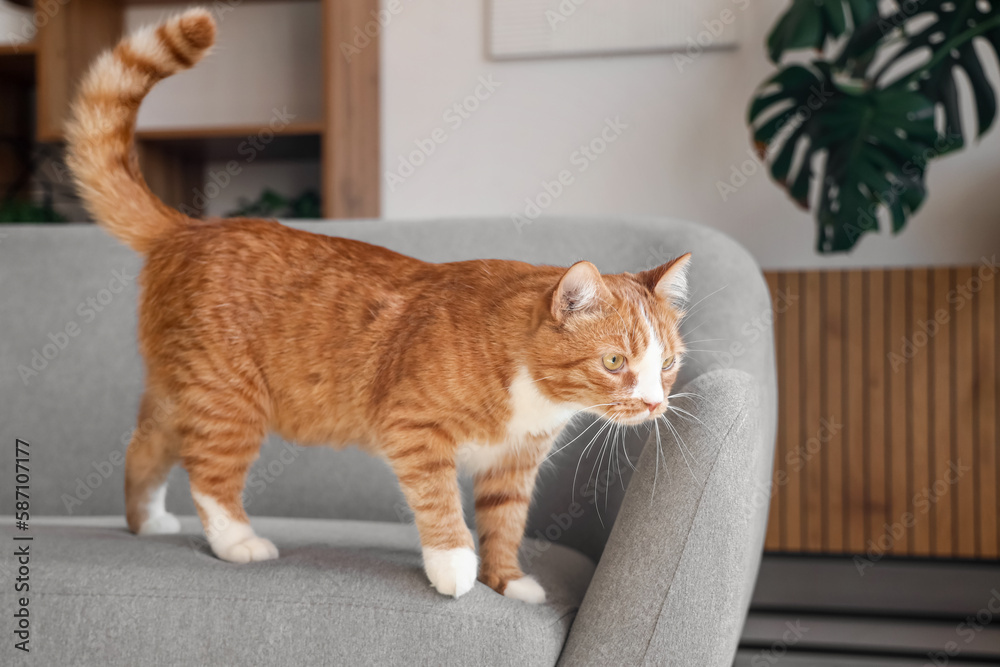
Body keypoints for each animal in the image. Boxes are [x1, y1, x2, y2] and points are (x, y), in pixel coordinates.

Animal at [62, 9, 688, 604]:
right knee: (210, 476)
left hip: (183, 394)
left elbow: (505, 523)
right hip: (229, 401)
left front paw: (507, 581)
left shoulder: (511, 466)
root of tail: (190, 228)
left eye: (667, 365)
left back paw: (147, 523)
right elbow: (439, 502)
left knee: (143, 449)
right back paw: (238, 541)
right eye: (615, 363)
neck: (533, 396)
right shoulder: (413, 429)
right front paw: (454, 566)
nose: (655, 404)